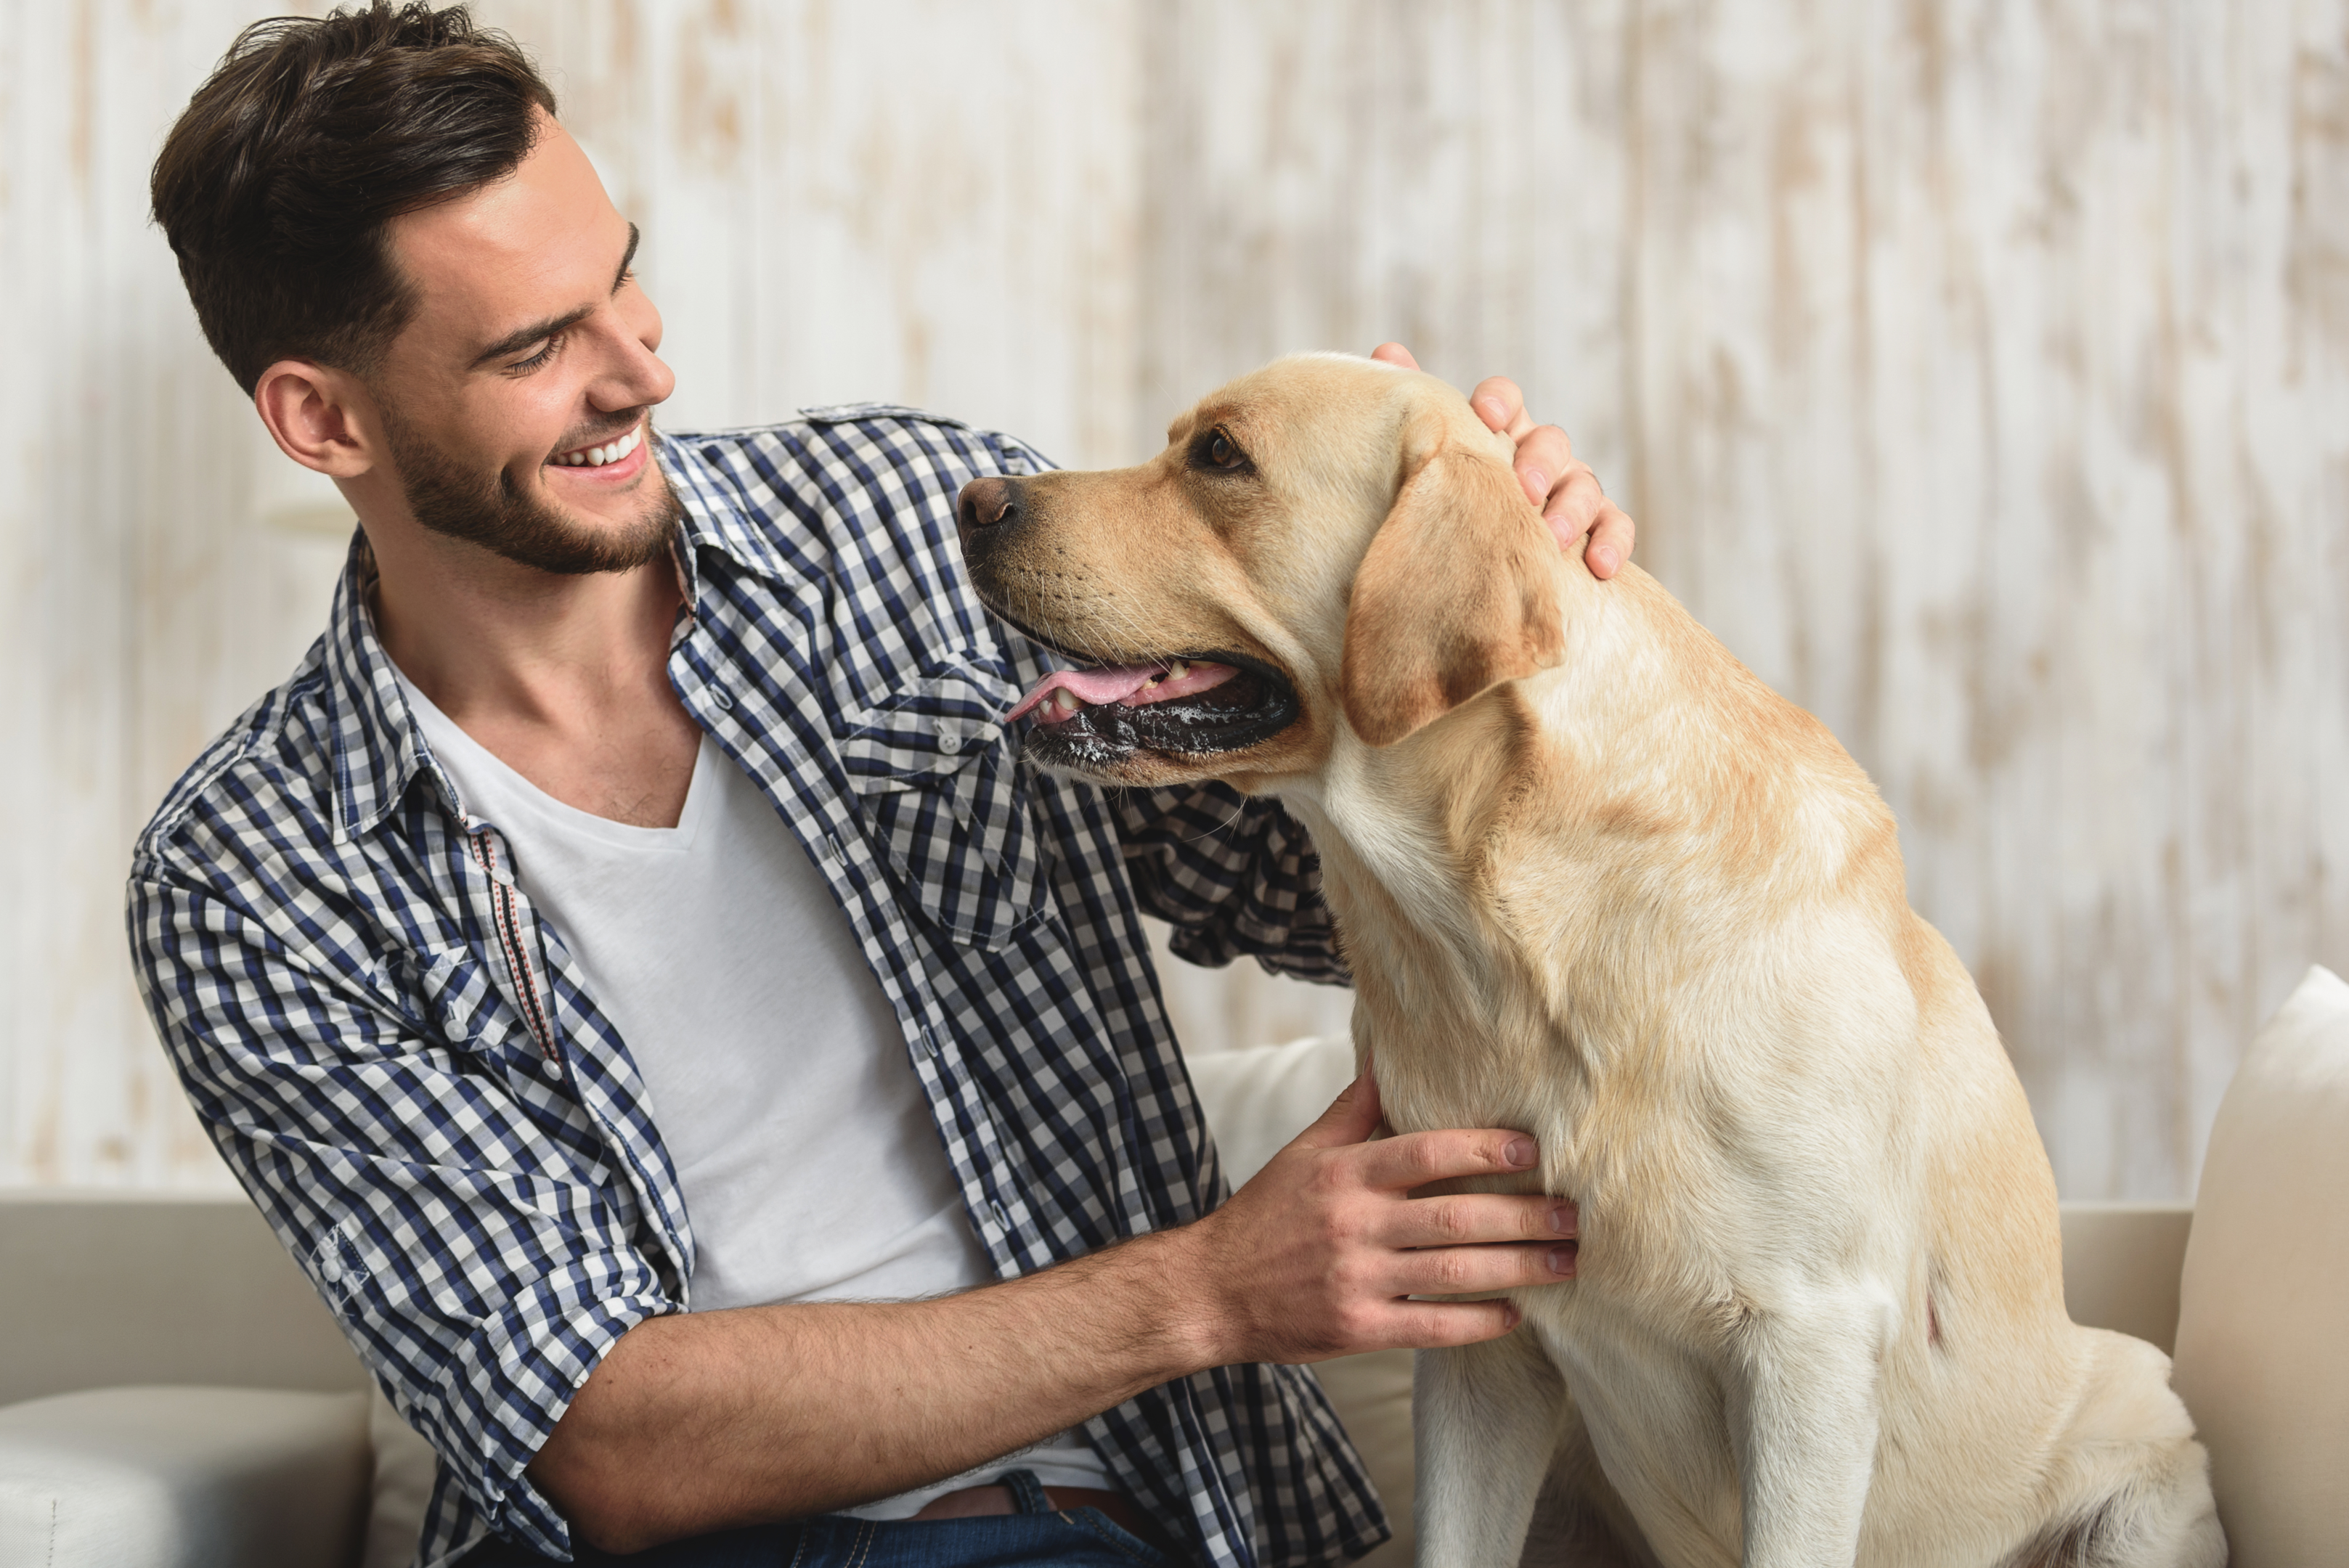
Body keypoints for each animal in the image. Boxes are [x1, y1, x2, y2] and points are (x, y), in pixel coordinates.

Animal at [948, 354, 2217, 1568]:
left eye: (1218, 455)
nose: (973, 501)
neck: (1500, 930)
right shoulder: (1473, 1326)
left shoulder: (1807, 1343)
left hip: (2144, 1456)